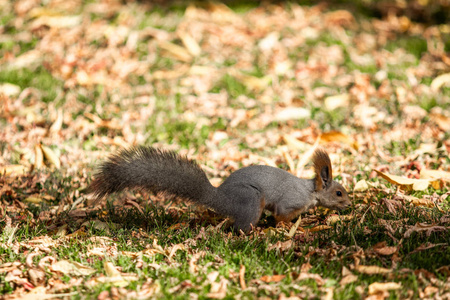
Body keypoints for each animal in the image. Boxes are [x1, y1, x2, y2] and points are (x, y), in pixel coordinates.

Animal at [86, 145, 350, 232]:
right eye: (338, 193)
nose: (349, 204)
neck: (311, 191)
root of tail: (219, 197)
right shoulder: (290, 201)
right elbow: (281, 215)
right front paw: (293, 226)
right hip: (251, 199)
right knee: (239, 228)